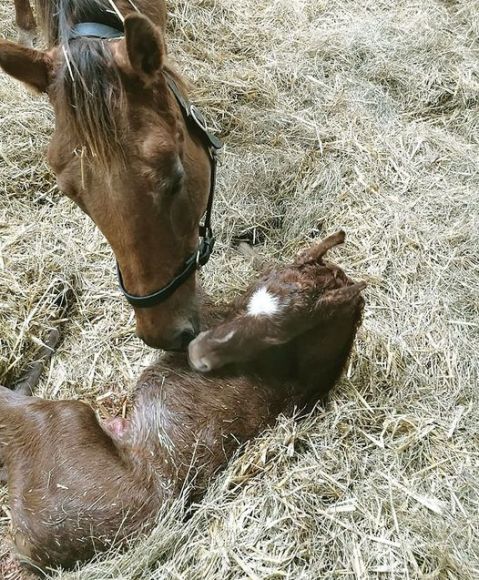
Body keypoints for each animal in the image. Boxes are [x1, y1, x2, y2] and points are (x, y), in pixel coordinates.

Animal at [0, 230, 366, 572]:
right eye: (263, 283)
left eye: (281, 330)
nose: (197, 353)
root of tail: (33, 553)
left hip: (65, 416)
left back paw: (61, 297)